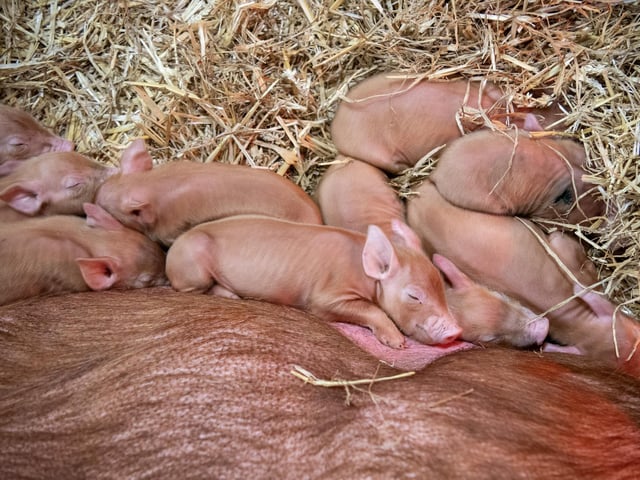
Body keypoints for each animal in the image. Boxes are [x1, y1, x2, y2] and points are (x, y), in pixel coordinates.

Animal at [166, 215, 461, 348]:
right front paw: (397, 343)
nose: (456, 332)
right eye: (414, 296)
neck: (365, 274)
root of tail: (172, 251)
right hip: (193, 271)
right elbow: (372, 310)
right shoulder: (325, 297)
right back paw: (231, 297)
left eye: (441, 288)